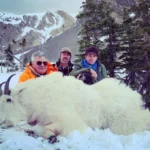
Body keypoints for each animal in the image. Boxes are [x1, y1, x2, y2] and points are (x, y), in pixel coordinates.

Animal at [0, 72, 150, 139]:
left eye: (8, 99)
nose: (2, 122)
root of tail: (135, 98)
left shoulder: (69, 121)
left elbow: (47, 130)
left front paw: (51, 136)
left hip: (121, 123)